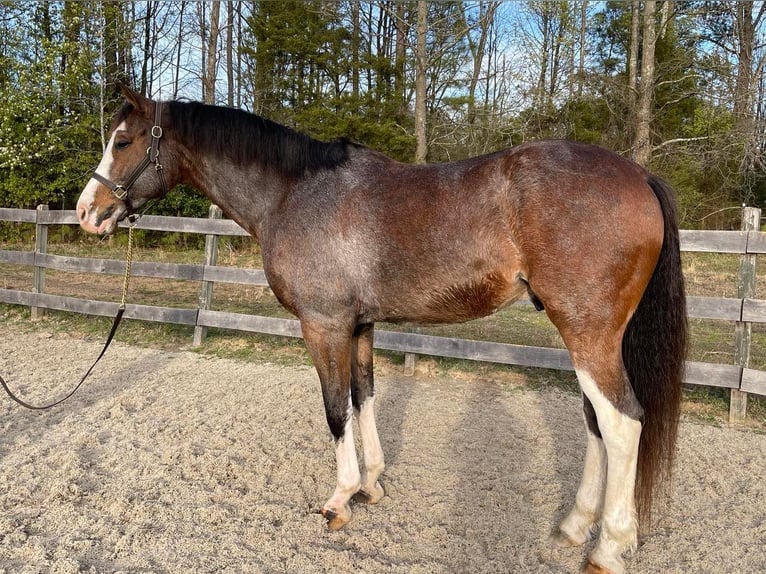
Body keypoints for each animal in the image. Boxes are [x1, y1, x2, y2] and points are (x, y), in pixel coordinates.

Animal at [78, 86, 688, 574]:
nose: (88, 212)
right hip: (586, 337)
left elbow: (334, 410)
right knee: (595, 421)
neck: (294, 194)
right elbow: (363, 396)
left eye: (123, 141)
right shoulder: (360, 325)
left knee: (622, 421)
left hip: (587, 333)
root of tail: (638, 174)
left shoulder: (323, 325)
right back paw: (573, 526)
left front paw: (339, 500)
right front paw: (372, 484)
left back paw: (607, 547)